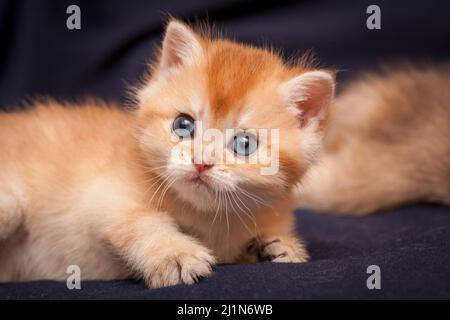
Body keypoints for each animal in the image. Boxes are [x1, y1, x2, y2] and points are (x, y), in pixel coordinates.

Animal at [0, 20, 334, 288]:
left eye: (244, 144)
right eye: (183, 125)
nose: (201, 163)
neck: (205, 216)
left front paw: (278, 247)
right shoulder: (101, 196)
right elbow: (141, 221)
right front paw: (175, 255)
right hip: (12, 204)